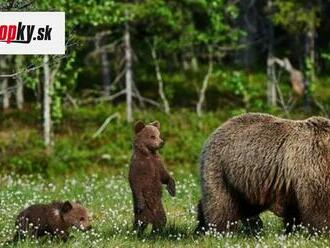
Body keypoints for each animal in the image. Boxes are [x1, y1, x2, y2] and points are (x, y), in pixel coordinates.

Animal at [197, 113, 330, 233]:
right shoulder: (312, 161)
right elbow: (318, 205)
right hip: (221, 169)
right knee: (221, 205)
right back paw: (219, 231)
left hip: (247, 182)